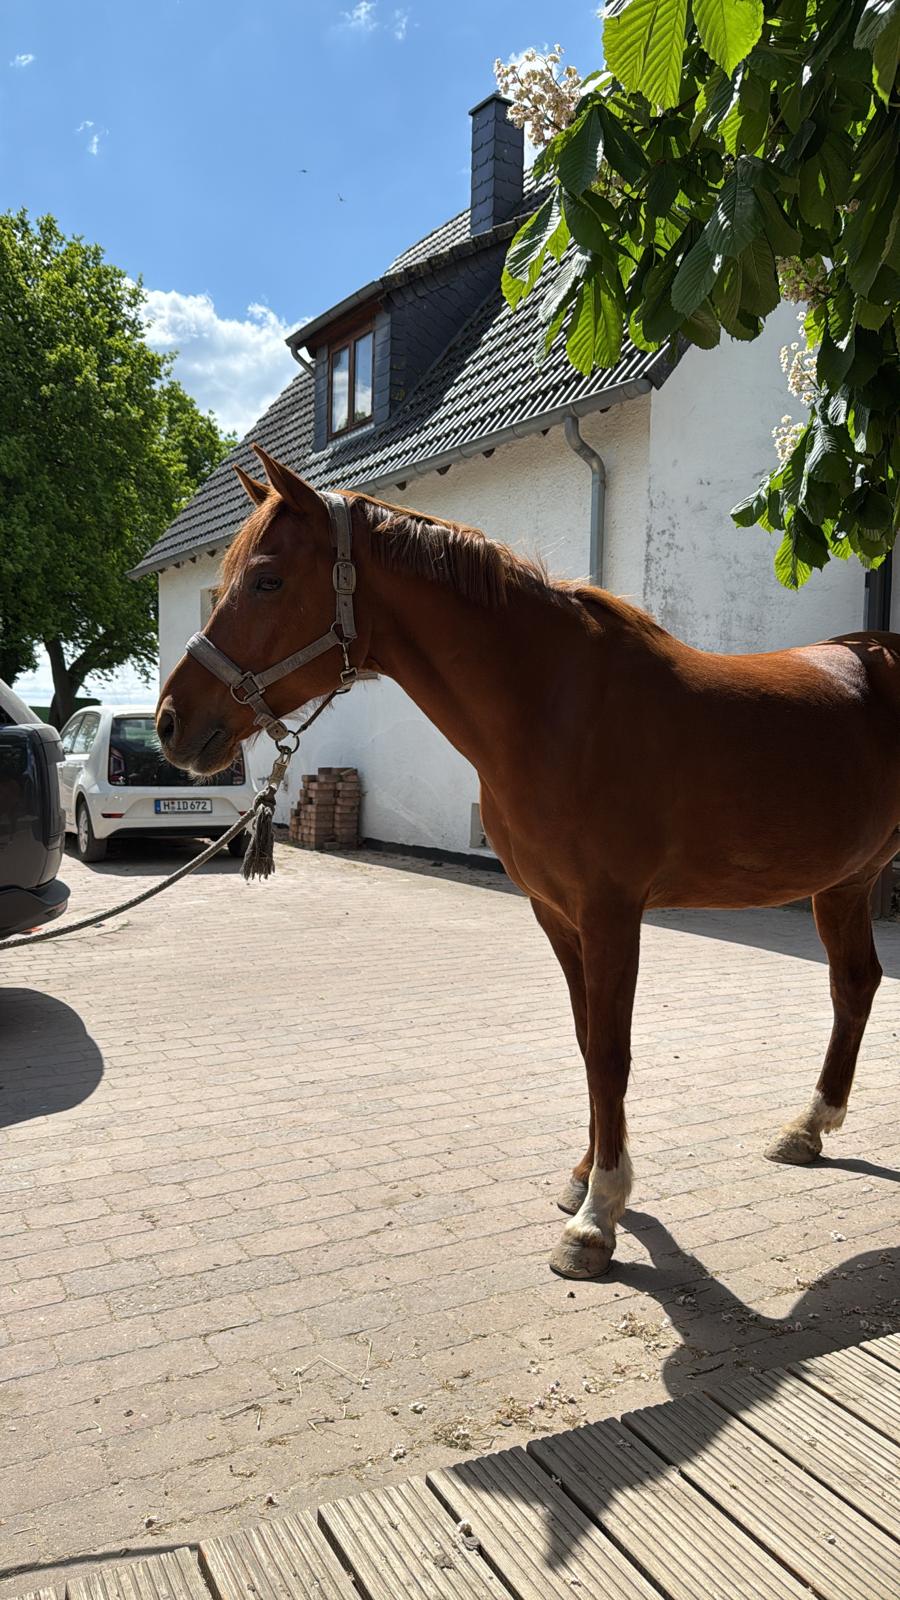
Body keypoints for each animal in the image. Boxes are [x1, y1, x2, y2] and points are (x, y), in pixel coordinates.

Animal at [157, 445, 900, 1279]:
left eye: (268, 580)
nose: (171, 722)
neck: (555, 709)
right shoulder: (557, 912)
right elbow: (585, 1042)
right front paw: (583, 1179)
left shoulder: (611, 912)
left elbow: (610, 1051)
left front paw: (597, 1218)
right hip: (845, 881)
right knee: (855, 986)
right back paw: (808, 1127)